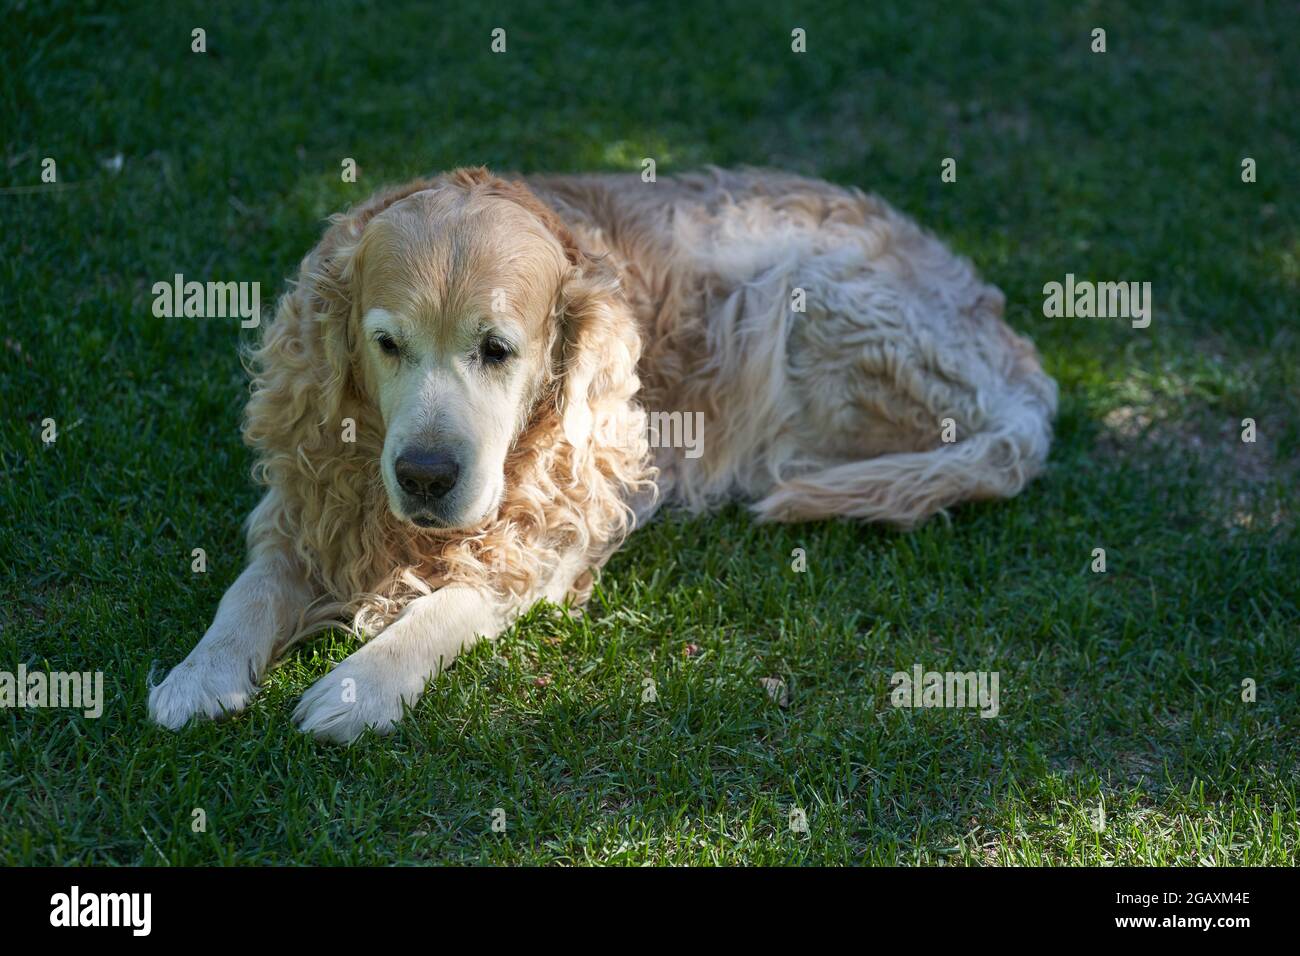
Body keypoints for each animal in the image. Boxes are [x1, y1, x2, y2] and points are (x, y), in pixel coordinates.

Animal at [147, 167, 1055, 743]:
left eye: (497, 350)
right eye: (386, 344)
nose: (425, 476)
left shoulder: (554, 534)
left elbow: (450, 604)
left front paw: (360, 684)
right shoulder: (305, 503)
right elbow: (247, 592)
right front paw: (198, 675)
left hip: (793, 295)